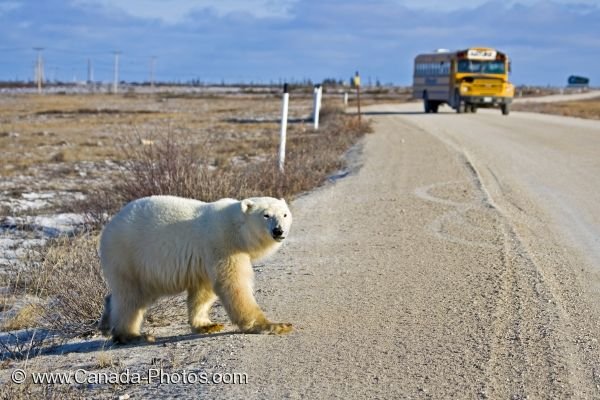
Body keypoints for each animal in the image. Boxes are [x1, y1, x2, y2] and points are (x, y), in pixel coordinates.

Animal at [98, 195, 292, 342]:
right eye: (266, 215)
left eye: (284, 215)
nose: (278, 231)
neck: (236, 229)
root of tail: (108, 227)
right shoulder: (222, 244)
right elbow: (233, 285)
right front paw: (275, 325)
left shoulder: (207, 258)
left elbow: (204, 291)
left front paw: (207, 325)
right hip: (128, 256)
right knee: (130, 297)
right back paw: (132, 335)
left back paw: (106, 322)